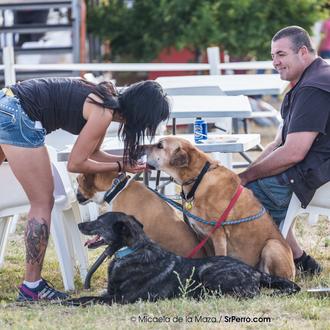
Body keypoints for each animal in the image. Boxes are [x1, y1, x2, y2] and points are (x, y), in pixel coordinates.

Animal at [65, 213, 300, 306]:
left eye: (99, 221)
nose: (78, 224)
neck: (131, 250)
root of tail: (256, 272)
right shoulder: (110, 294)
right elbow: (86, 297)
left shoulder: (118, 299)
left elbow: (87, 300)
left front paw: (66, 302)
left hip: (210, 273)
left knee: (250, 294)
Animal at [146, 135, 296, 280]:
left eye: (160, 145)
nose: (140, 148)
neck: (199, 178)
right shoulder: (202, 236)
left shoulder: (218, 234)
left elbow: (220, 256)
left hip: (272, 245)